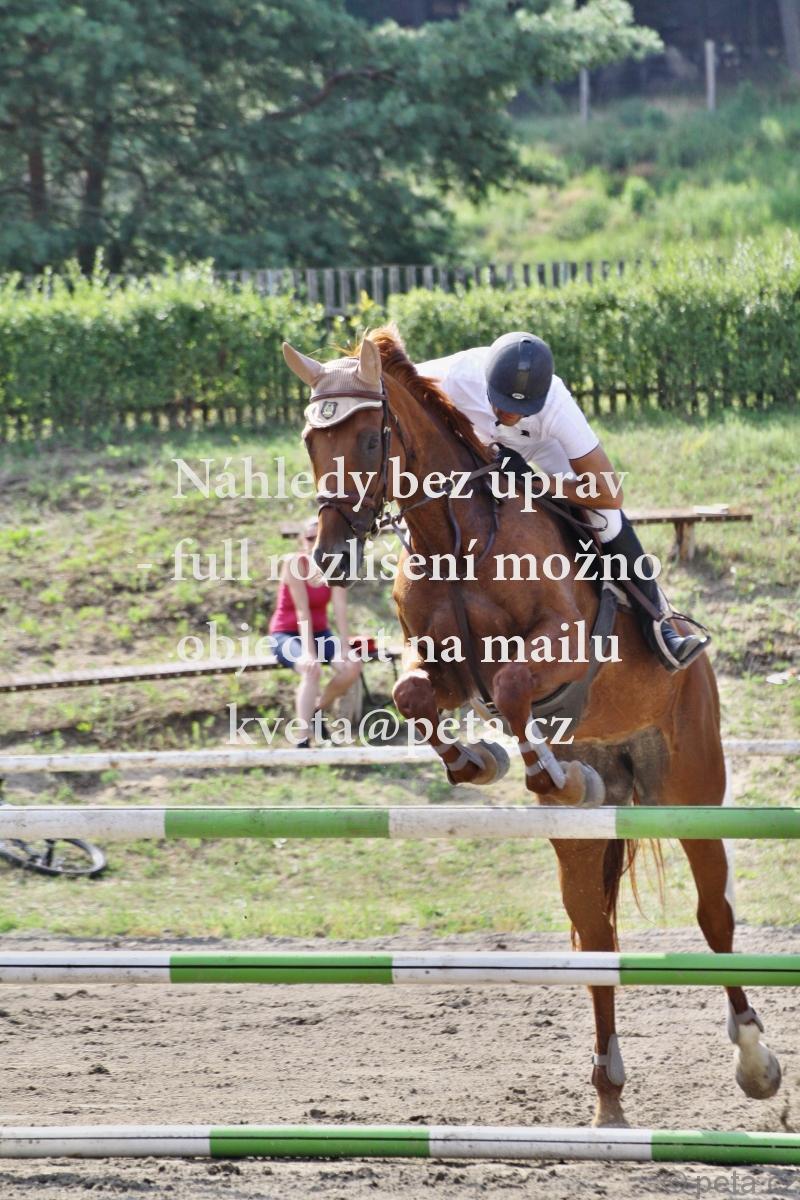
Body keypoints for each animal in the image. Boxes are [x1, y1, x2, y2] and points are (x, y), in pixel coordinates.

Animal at [282, 327, 781, 1127]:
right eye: (309, 440)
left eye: (366, 438)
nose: (328, 555)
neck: (455, 537)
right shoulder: (444, 667)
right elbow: (415, 696)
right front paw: (477, 763)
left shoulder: (563, 645)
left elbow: (517, 685)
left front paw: (546, 770)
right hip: (588, 838)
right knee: (597, 936)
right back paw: (608, 1098)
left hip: (690, 787)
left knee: (715, 917)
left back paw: (756, 1060)